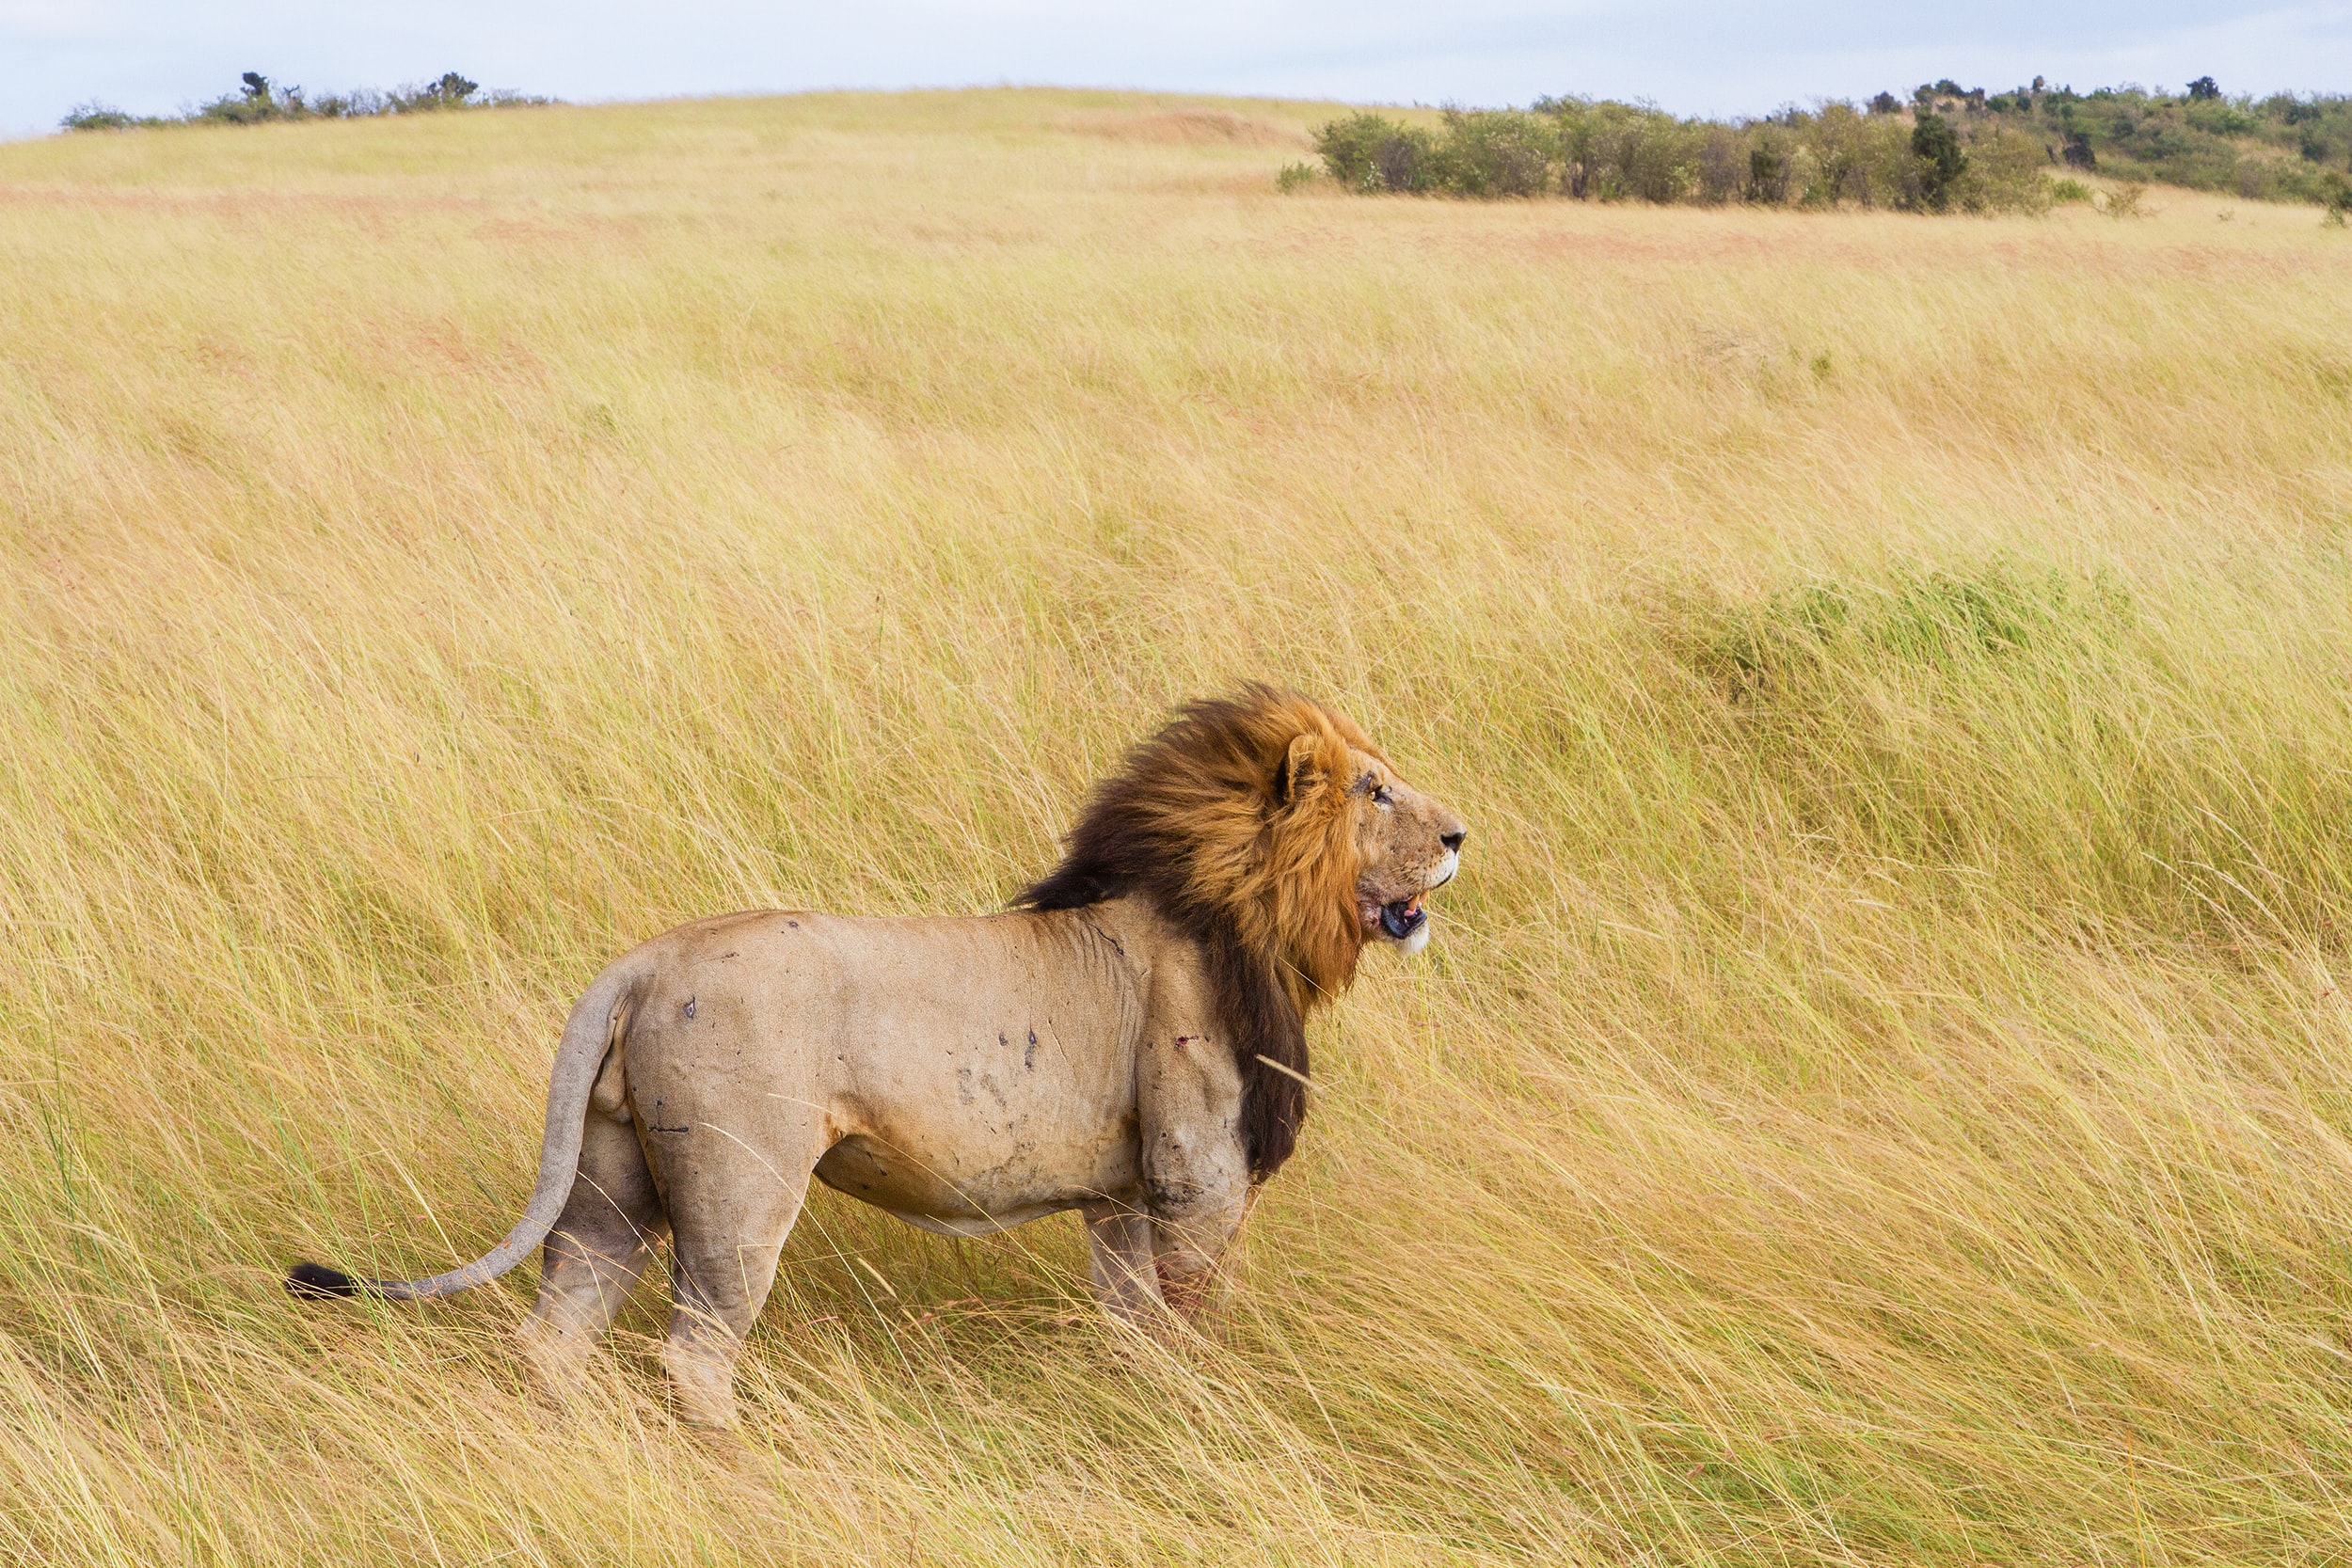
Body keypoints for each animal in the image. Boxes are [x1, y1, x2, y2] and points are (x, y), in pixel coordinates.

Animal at [288, 685, 1467, 1427]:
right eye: (1374, 790)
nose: (1460, 834)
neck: (1245, 911)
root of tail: (642, 961)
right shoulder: (1195, 1174)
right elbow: (1188, 1319)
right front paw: (1200, 1415)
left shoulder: (1123, 1195)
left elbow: (1132, 1326)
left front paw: (1140, 1407)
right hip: (741, 1185)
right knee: (694, 1351)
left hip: (612, 1179)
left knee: (554, 1333)